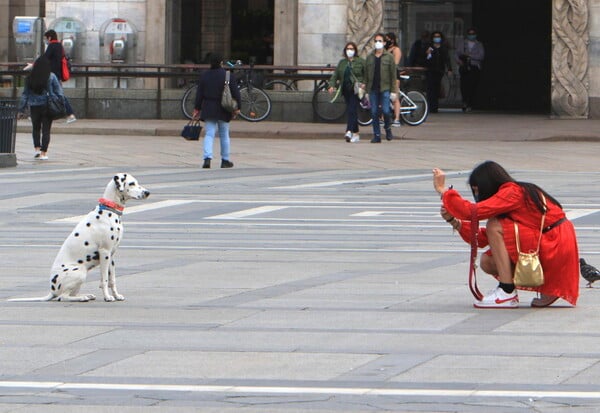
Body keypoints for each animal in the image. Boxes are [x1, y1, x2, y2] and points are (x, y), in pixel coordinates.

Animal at [9, 172, 150, 300]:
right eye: (131, 183)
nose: (148, 192)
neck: (108, 210)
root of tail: (52, 290)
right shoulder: (104, 252)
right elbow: (104, 280)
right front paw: (107, 297)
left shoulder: (111, 255)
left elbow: (112, 280)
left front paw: (116, 295)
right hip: (80, 272)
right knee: (63, 297)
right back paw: (82, 298)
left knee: (70, 294)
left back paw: (86, 295)